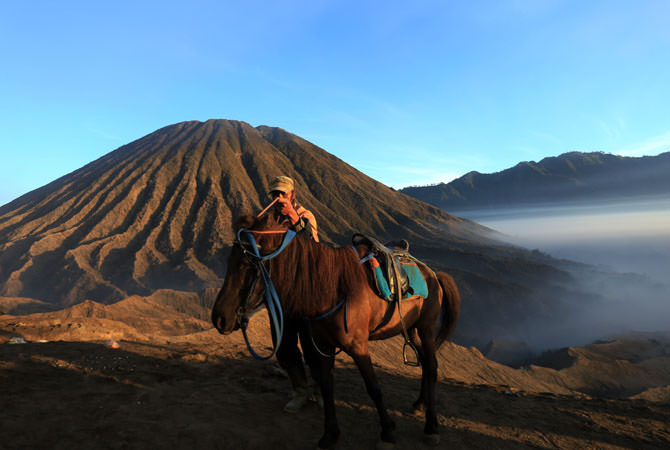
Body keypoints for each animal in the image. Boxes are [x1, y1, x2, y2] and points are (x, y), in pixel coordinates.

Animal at [213, 213, 460, 448]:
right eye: (228, 261)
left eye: (247, 264)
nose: (219, 318)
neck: (332, 289)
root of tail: (433, 274)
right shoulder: (323, 345)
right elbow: (326, 385)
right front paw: (330, 434)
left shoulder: (358, 347)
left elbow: (373, 387)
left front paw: (387, 433)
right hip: (410, 328)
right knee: (425, 363)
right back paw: (420, 404)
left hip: (426, 327)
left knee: (431, 367)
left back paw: (431, 427)